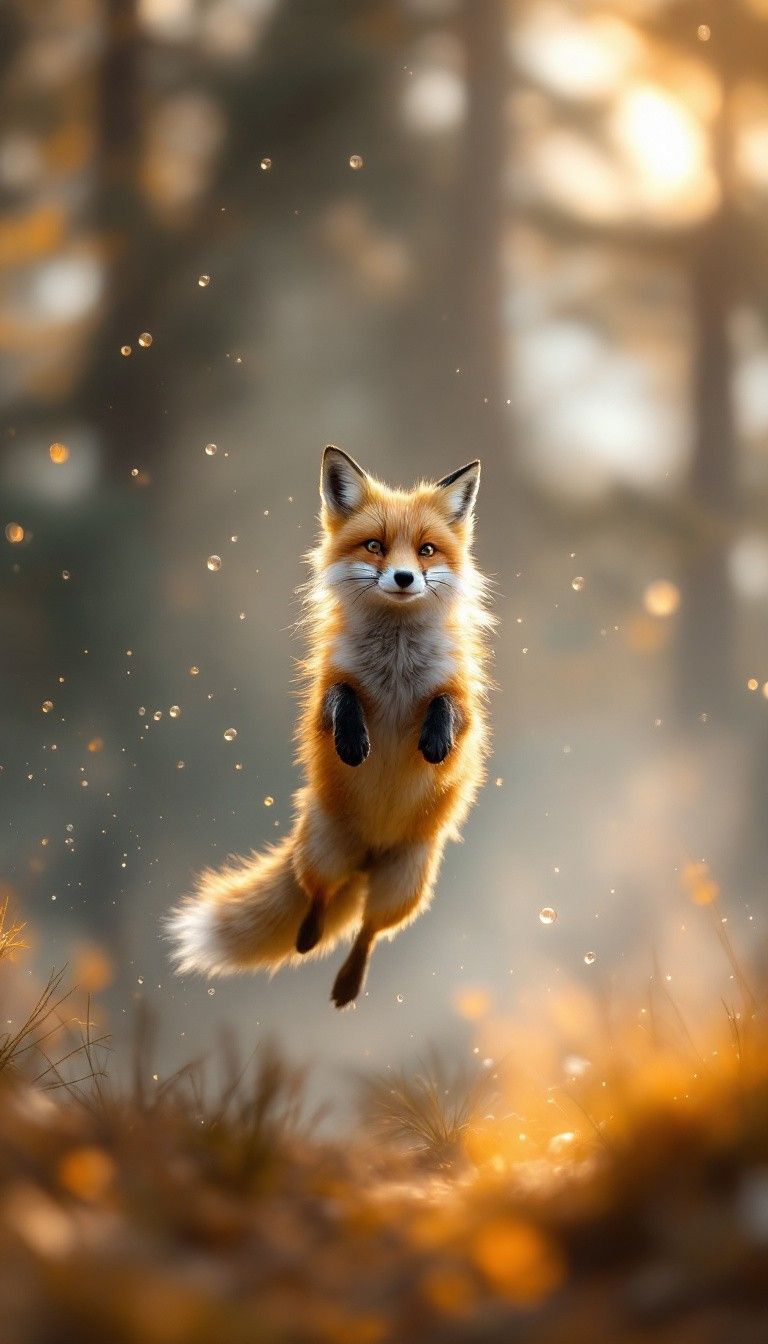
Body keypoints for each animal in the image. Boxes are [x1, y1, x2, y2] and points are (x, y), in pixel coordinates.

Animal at [167, 446, 493, 1007]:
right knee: (317, 899)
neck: (396, 661)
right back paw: (307, 936)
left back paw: (348, 982)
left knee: (368, 931)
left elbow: (447, 709)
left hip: (404, 887)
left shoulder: (463, 698)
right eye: (375, 546)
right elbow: (342, 702)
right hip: (324, 855)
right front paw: (354, 742)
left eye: (427, 551)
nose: (404, 578)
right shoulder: (327, 688)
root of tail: (367, 857)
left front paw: (433, 741)